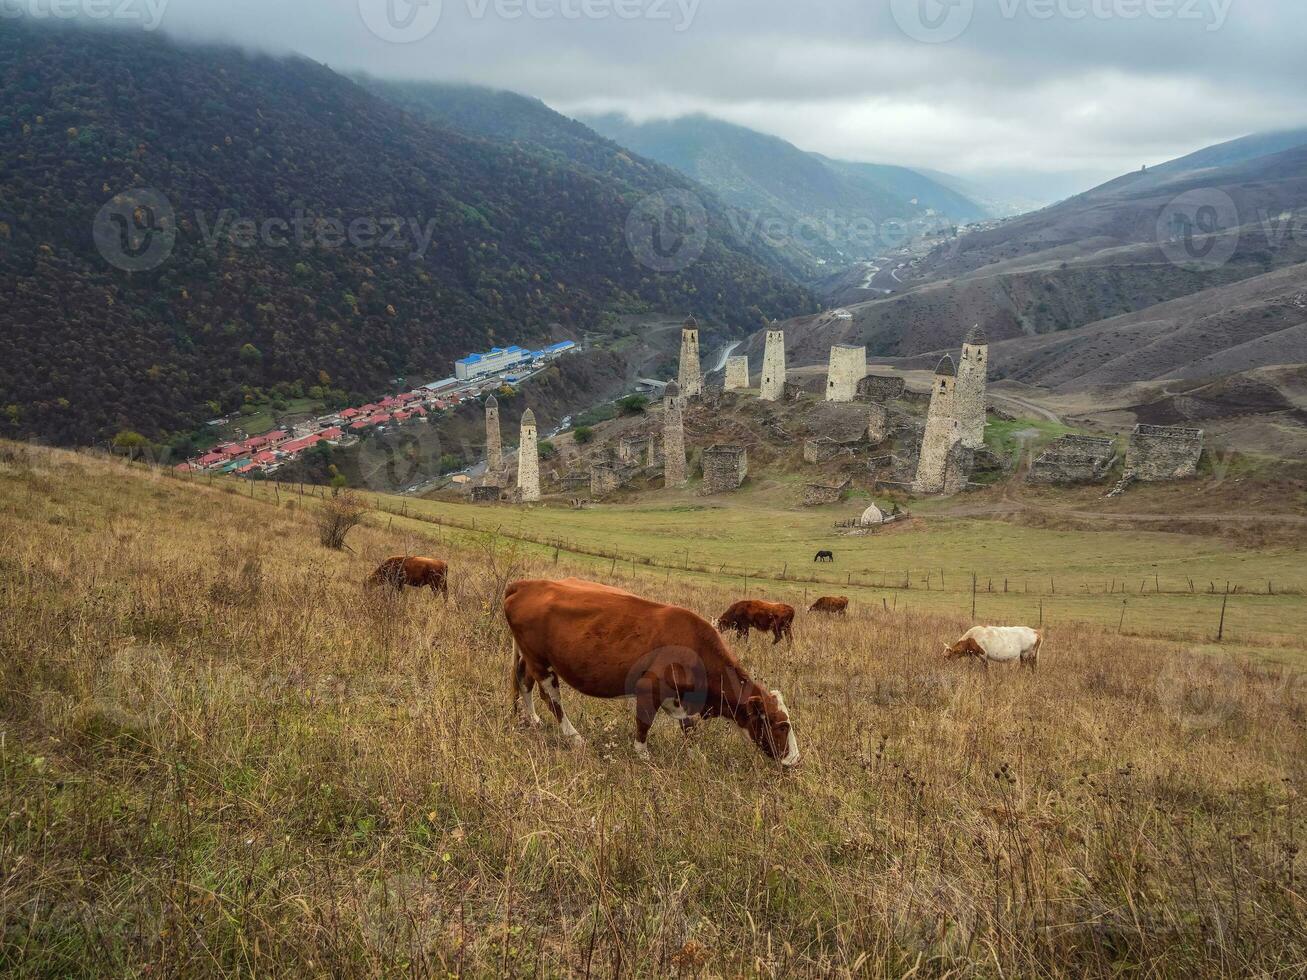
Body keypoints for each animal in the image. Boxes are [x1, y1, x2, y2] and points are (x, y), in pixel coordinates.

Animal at [504, 580, 794, 773]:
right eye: (782, 726)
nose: (793, 760)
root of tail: (526, 584)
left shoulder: (680, 696)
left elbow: (688, 727)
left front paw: (695, 755)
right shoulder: (649, 687)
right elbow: (644, 723)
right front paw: (643, 755)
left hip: (530, 657)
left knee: (525, 683)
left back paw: (532, 719)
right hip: (541, 661)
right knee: (551, 698)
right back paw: (573, 736)